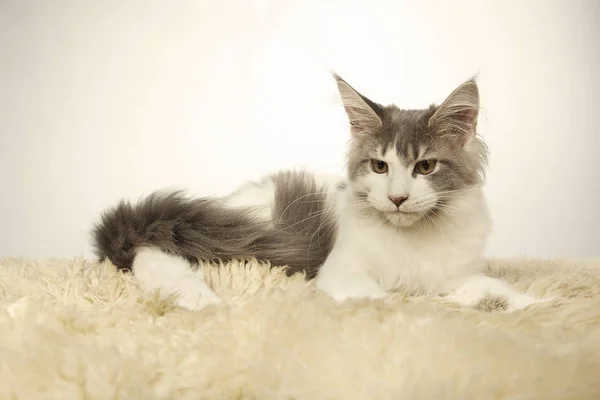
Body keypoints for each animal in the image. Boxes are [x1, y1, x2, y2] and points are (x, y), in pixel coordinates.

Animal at [92, 74, 548, 312]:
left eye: (425, 166)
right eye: (379, 166)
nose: (398, 198)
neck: (413, 241)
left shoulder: (457, 273)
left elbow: (491, 290)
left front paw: (532, 304)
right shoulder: (343, 270)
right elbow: (381, 298)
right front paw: (404, 306)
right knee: (154, 252)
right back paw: (195, 296)